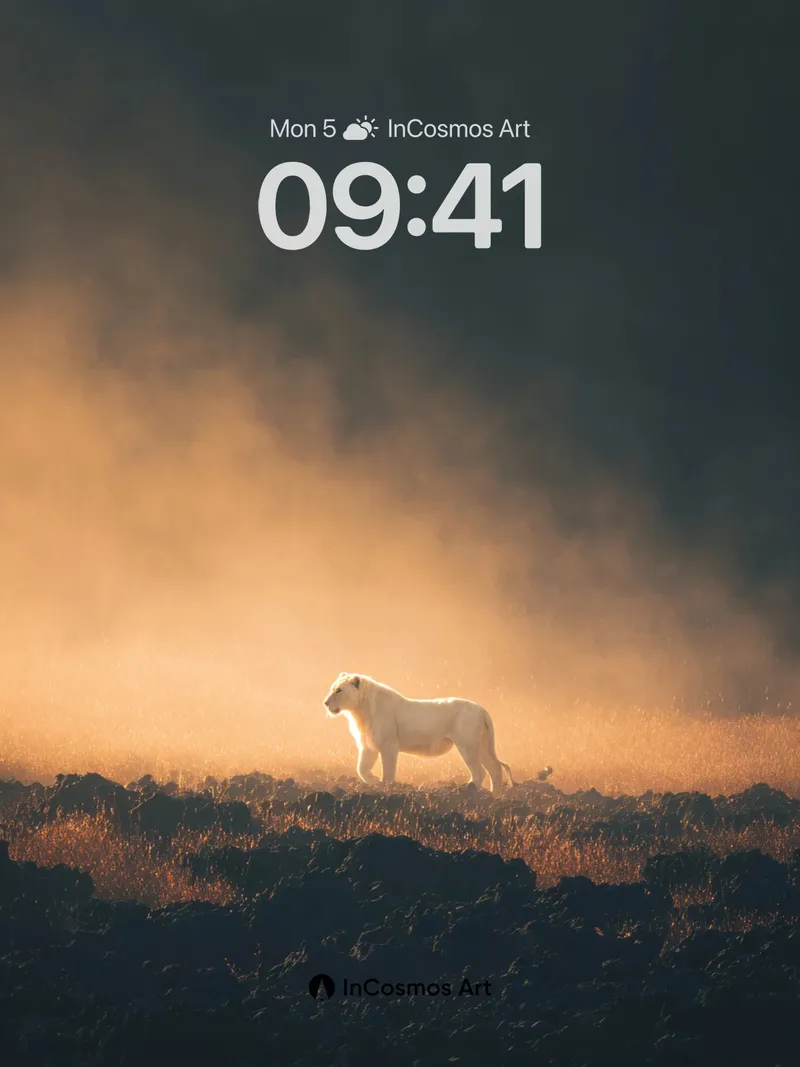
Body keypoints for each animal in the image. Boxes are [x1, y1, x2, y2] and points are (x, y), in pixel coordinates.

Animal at [323, 672, 521, 793]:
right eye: (333, 688)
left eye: (339, 690)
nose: (325, 703)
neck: (359, 711)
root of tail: (482, 710)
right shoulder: (368, 746)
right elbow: (361, 769)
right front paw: (373, 781)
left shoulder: (389, 745)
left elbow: (388, 772)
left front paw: (386, 787)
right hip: (482, 745)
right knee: (495, 769)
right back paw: (494, 797)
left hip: (468, 745)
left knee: (479, 772)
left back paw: (466, 791)